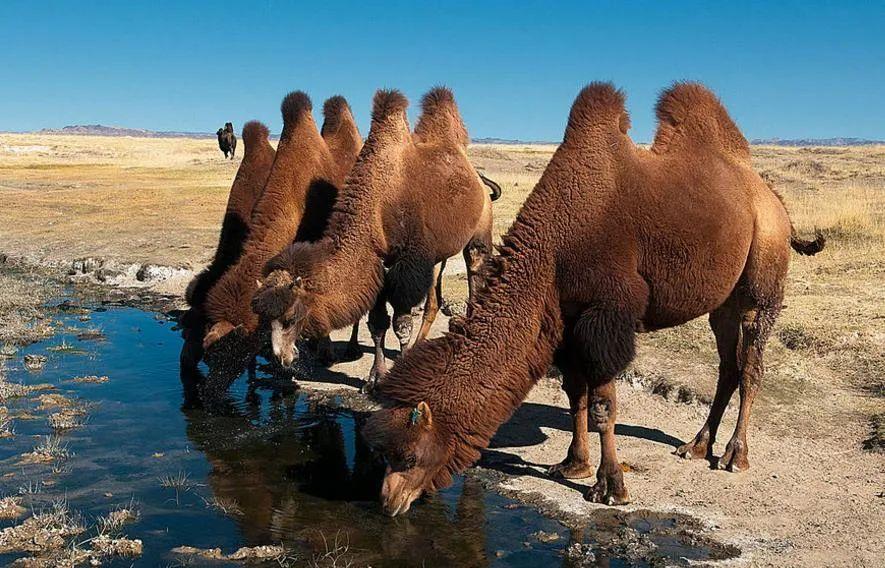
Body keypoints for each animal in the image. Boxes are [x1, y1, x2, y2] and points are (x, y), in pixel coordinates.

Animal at [252, 87, 498, 390]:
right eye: (266, 318)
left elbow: (401, 323)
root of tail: (477, 178)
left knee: (475, 268)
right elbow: (378, 323)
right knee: (434, 298)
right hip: (437, 254)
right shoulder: (378, 263)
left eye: (289, 318)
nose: (281, 357)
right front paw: (375, 377)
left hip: (479, 228)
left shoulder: (407, 263)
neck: (375, 207)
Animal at [360, 82, 820, 516]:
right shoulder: (565, 319)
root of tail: (774, 199)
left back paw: (734, 455)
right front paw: (572, 464)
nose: (388, 502)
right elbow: (574, 396)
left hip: (763, 270)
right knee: (728, 364)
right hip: (723, 301)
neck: (555, 251)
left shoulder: (606, 318)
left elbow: (602, 407)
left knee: (752, 364)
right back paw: (696, 446)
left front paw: (610, 486)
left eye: (408, 455)